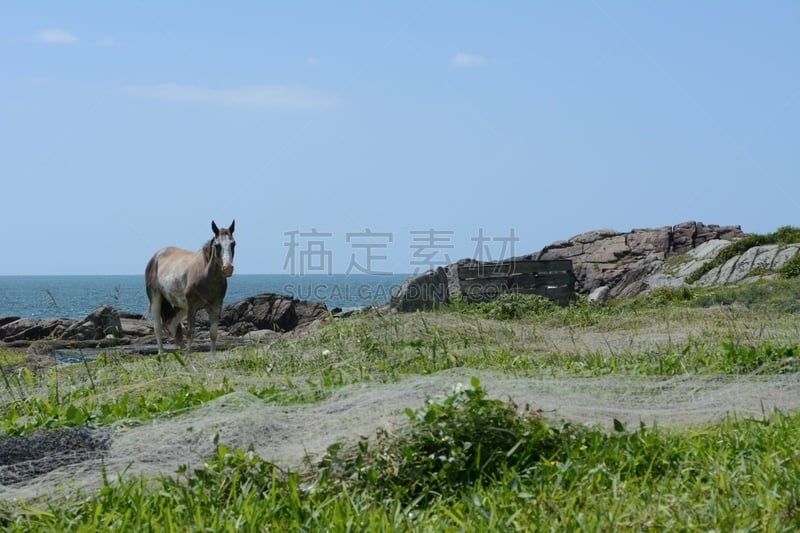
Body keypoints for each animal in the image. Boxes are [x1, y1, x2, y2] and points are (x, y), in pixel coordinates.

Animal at [145, 220, 236, 354]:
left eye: (233, 244)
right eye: (217, 245)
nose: (228, 268)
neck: (205, 275)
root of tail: (155, 257)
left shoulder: (216, 306)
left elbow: (213, 334)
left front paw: (212, 356)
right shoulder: (192, 307)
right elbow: (191, 333)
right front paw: (188, 356)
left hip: (181, 305)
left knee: (172, 324)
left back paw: (181, 350)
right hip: (156, 298)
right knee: (158, 327)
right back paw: (161, 352)